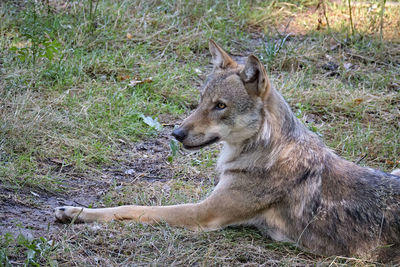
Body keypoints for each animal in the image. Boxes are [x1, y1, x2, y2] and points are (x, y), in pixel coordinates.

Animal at [55, 40, 400, 264]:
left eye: (220, 106)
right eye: (201, 102)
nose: (176, 134)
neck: (266, 152)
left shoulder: (203, 213)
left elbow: (131, 208)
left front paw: (76, 212)